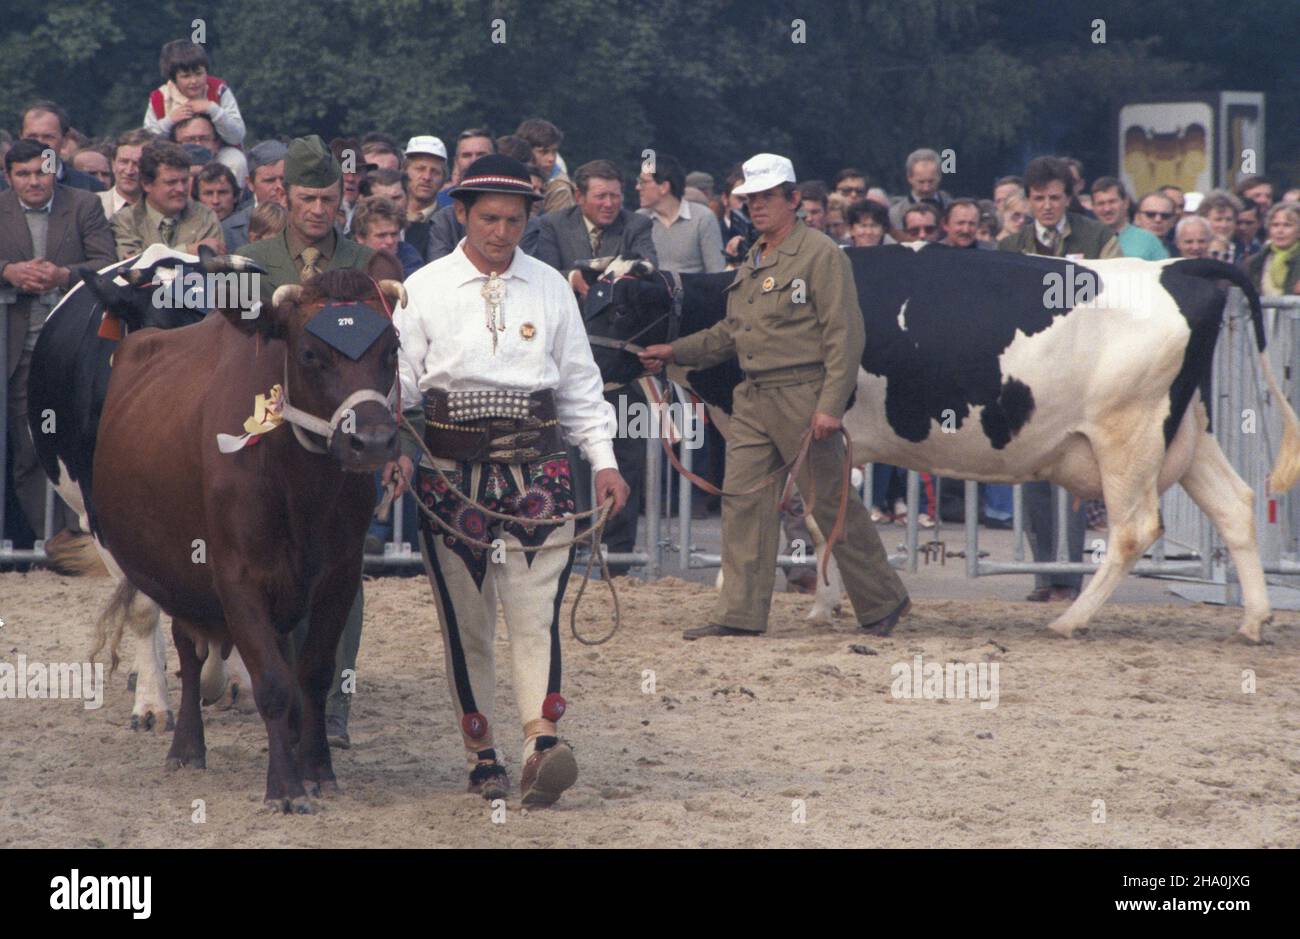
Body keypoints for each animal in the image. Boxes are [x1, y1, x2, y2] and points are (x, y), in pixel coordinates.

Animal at [93, 252, 405, 806]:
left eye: (392, 348)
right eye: (310, 353)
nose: (371, 441)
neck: (298, 487)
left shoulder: (339, 575)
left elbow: (312, 673)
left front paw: (316, 767)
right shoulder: (235, 576)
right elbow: (273, 684)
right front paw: (284, 786)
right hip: (179, 574)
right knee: (189, 649)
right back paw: (186, 747)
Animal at [590, 241, 1300, 639]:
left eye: (621, 306)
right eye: (589, 293)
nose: (586, 368)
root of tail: (1173, 269)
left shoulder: (828, 437)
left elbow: (818, 515)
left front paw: (824, 602)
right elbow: (816, 518)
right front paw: (827, 605)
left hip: (1128, 435)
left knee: (1134, 529)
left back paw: (1070, 620)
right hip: (1186, 435)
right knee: (1236, 506)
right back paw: (1252, 622)